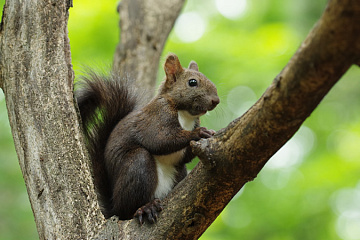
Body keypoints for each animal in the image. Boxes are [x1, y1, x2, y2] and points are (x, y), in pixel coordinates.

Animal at [76, 53, 219, 224]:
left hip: (178, 172)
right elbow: (159, 140)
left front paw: (208, 134)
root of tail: (114, 207)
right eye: (192, 82)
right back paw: (145, 208)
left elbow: (183, 155)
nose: (216, 100)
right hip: (138, 166)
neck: (185, 114)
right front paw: (198, 133)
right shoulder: (156, 117)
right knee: (129, 208)